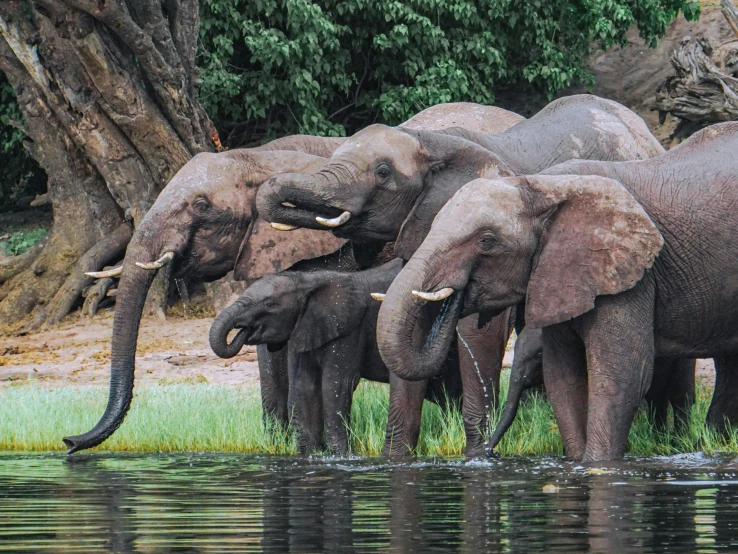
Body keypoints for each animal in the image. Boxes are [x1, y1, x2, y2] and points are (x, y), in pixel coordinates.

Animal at [208, 258, 460, 452]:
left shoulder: (349, 329)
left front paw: (341, 456)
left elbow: (336, 385)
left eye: (269, 303)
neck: (308, 281)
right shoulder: (305, 326)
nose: (242, 331)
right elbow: (304, 386)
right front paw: (310, 455)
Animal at [258, 95, 660, 454]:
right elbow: (411, 329)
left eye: (382, 172)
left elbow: (478, 334)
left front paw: (476, 455)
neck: (430, 140)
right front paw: (396, 458)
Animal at [374, 122, 736, 462]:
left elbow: (622, 377)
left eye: (487, 241)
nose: (490, 453)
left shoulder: (632, 277)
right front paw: (576, 464)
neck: (543, 187)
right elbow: (562, 378)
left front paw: (599, 465)